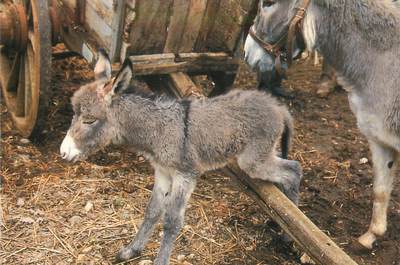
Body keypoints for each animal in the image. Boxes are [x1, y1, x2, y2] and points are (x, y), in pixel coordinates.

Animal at [59, 50, 302, 262]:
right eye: (73, 114)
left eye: (90, 120)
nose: (63, 152)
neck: (160, 129)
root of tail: (278, 106)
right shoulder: (162, 173)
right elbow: (152, 211)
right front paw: (131, 250)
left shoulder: (185, 175)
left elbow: (171, 222)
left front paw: (159, 261)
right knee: (290, 170)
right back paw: (280, 227)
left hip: (252, 161)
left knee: (293, 170)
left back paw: (288, 235)